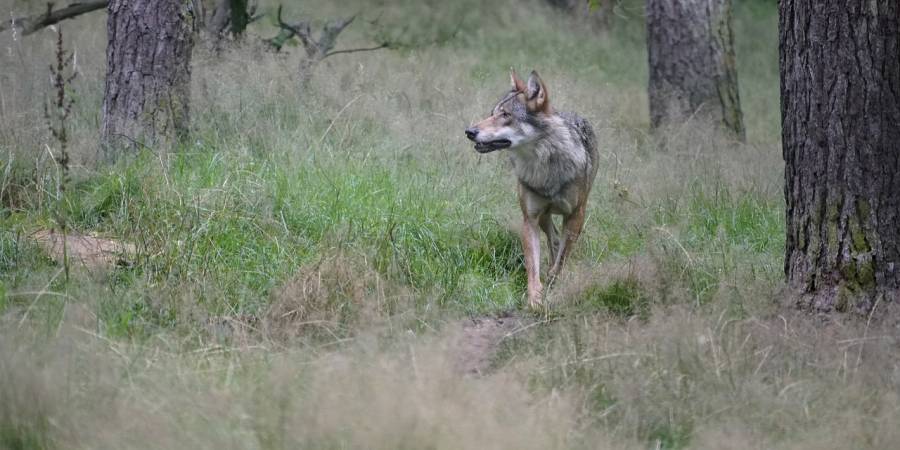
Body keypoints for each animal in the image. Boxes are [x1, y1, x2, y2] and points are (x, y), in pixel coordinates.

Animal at [464, 69, 596, 310]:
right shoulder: (530, 219)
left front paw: (554, 286)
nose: (469, 131)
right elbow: (532, 266)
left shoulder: (576, 215)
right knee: (553, 239)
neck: (544, 166)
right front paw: (535, 299)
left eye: (505, 114)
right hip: (544, 217)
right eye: (492, 113)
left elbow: (562, 260)